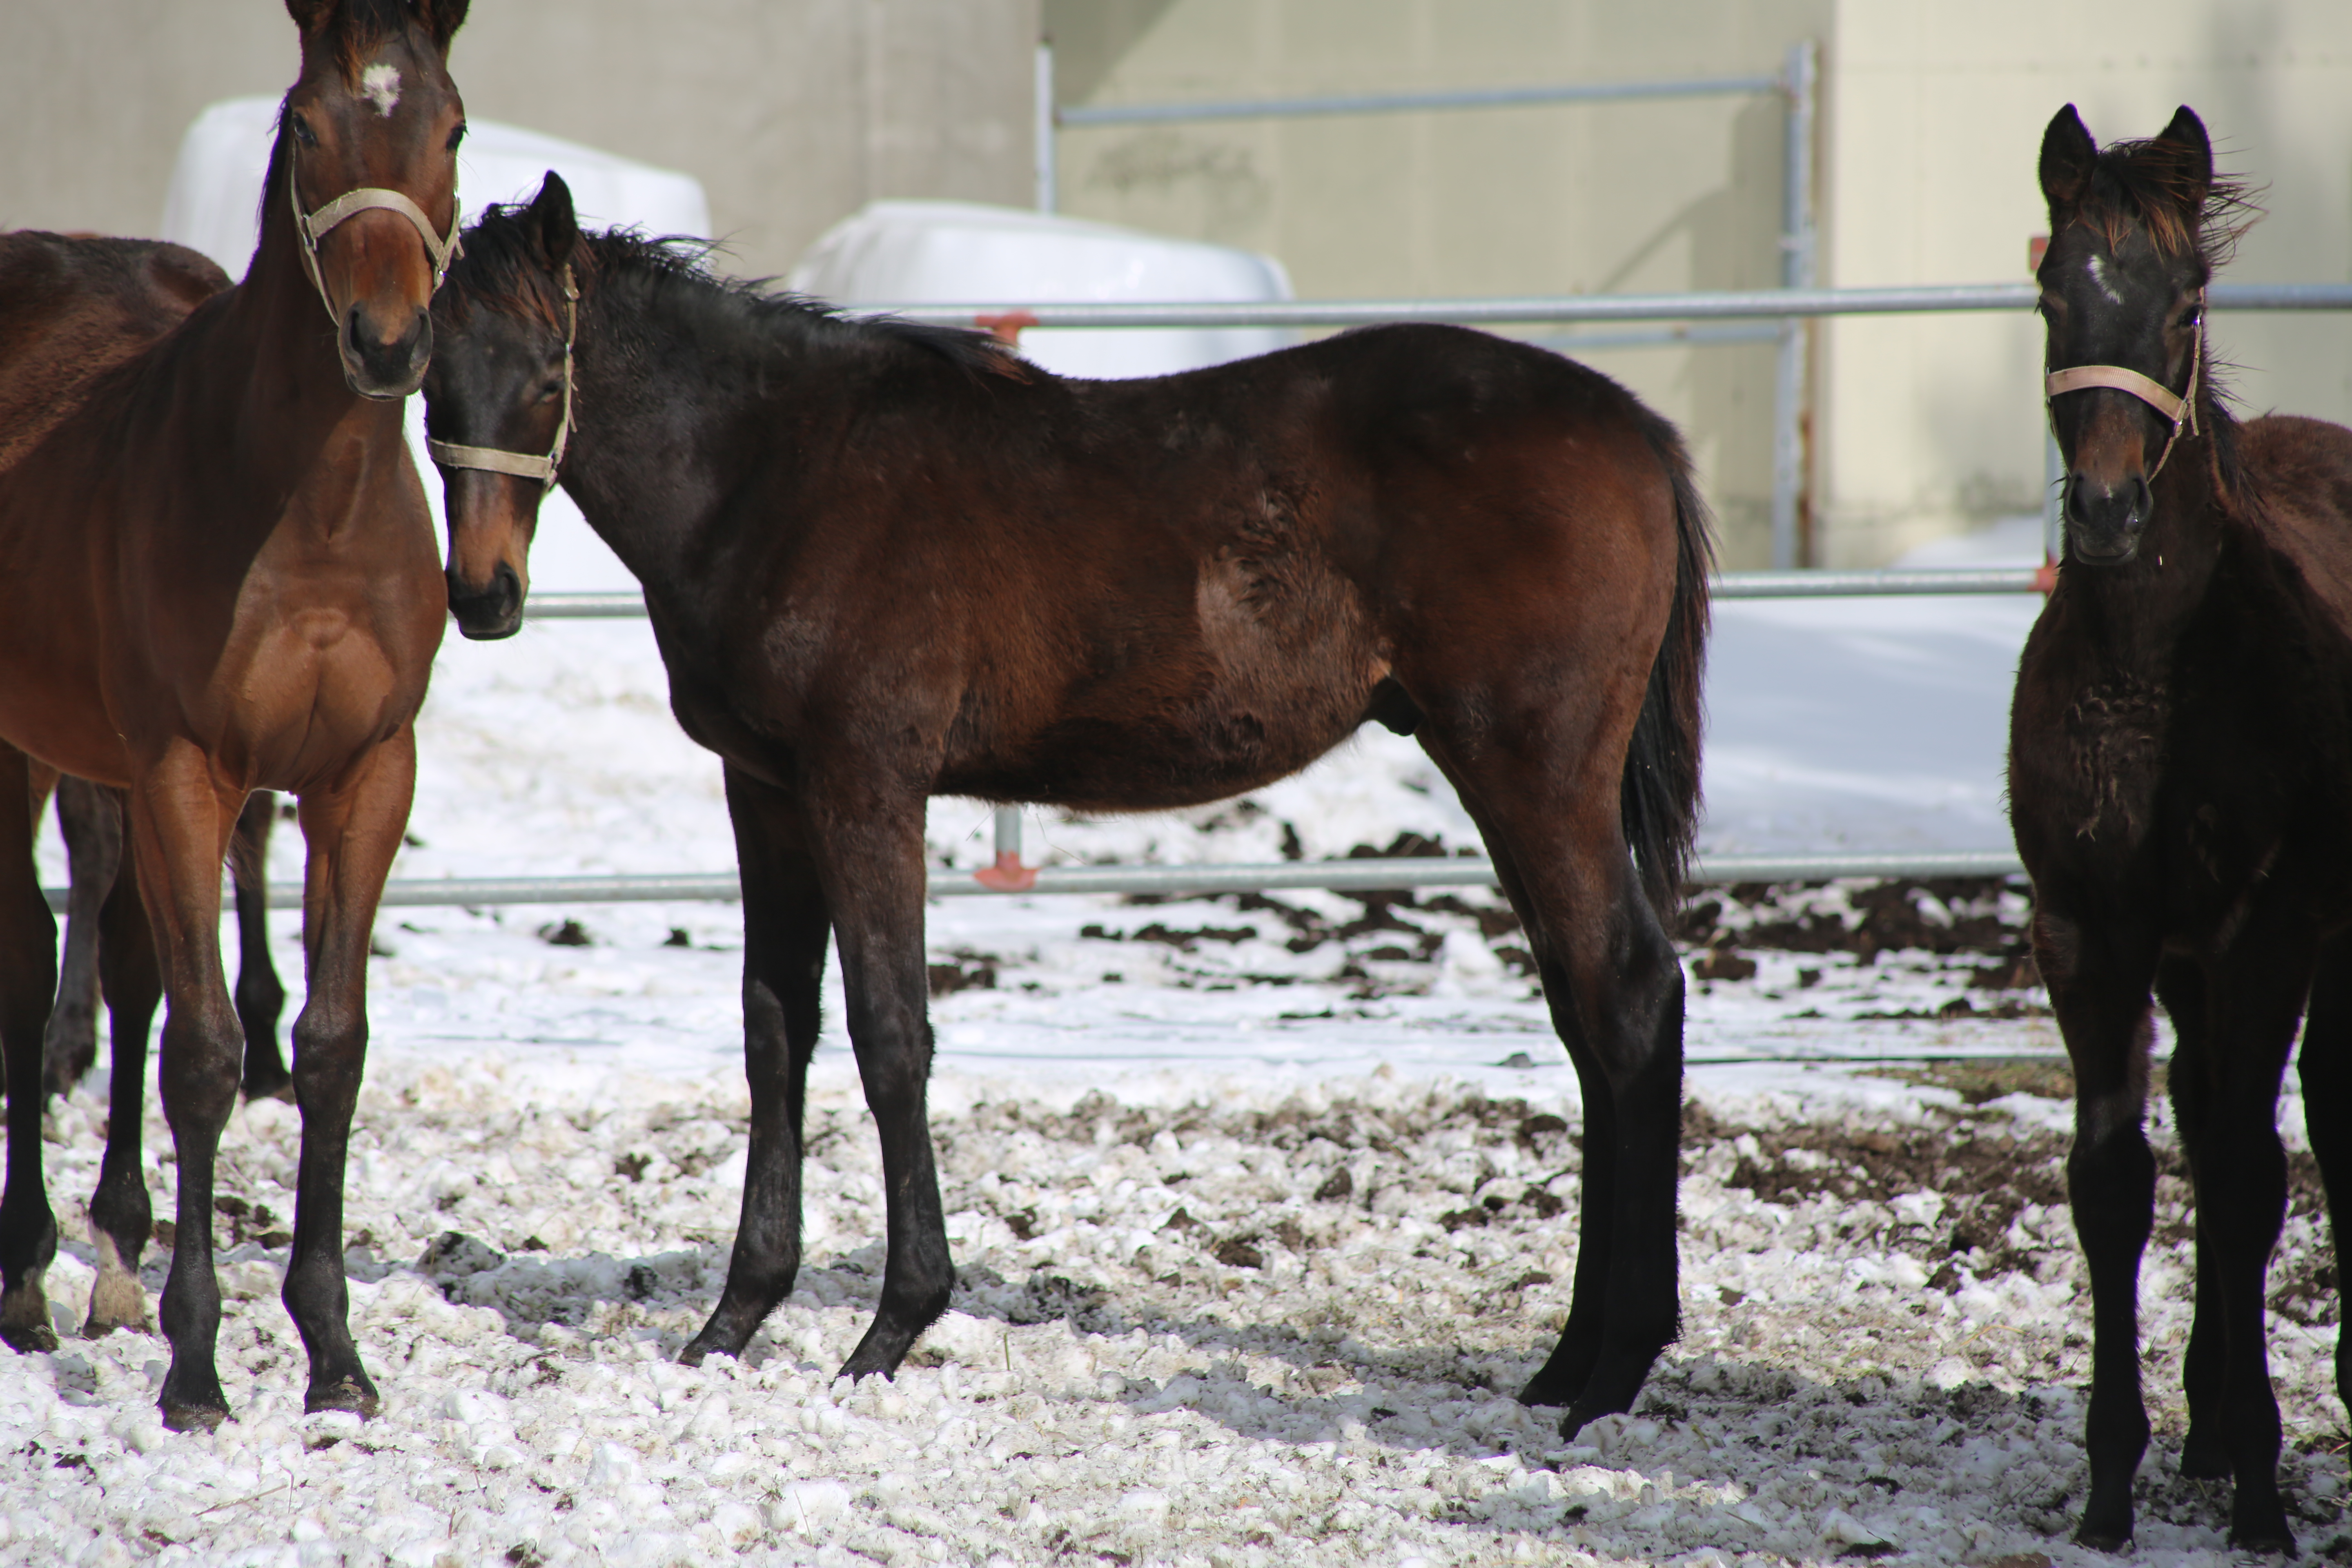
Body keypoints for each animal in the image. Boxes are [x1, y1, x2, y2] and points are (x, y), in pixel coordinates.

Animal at [0, 0, 472, 1429]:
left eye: (453, 127)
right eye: (308, 125)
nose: (388, 341)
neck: (312, 512)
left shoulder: (365, 776)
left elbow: (327, 1046)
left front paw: (334, 1353)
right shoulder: (186, 770)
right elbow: (207, 1056)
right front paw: (199, 1368)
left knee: (127, 967)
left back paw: (112, 1254)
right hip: (22, 751)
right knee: (30, 967)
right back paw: (28, 1279)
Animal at [428, 172, 1712, 1439]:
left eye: (544, 377)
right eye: (430, 378)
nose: (483, 598)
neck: (773, 475)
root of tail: (1631, 427)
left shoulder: (865, 784)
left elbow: (891, 1035)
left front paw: (893, 1327)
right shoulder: (770, 791)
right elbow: (774, 1031)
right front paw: (734, 1320)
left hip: (1532, 771)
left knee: (1628, 996)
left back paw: (1610, 1369)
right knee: (1587, 1013)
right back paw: (1568, 1362)